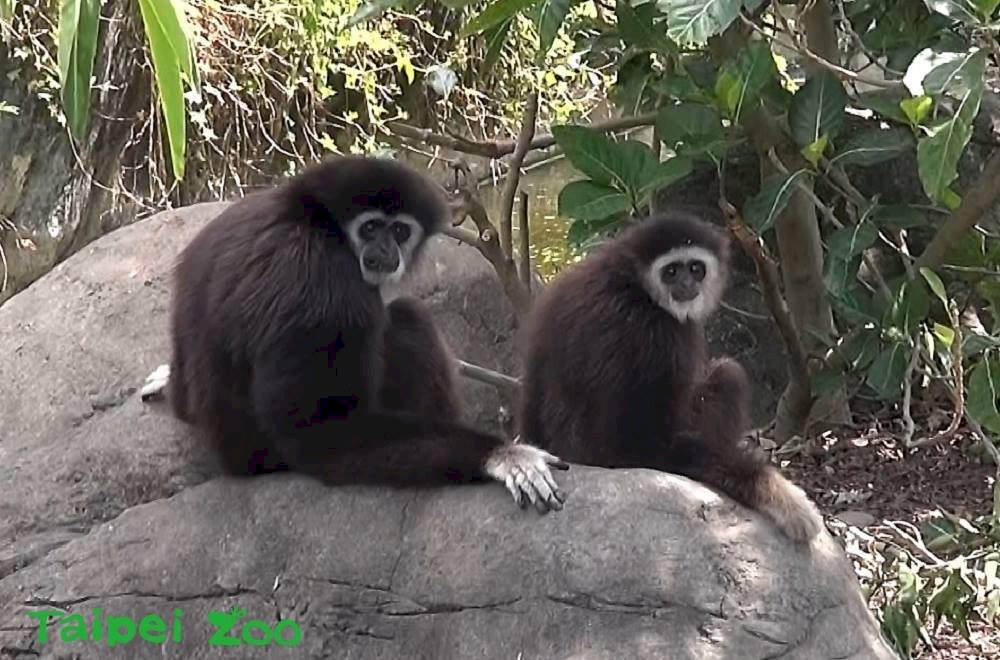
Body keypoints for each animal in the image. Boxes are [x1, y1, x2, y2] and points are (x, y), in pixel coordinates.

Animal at [150, 155, 568, 513]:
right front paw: (501, 455)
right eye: (369, 228)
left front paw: (167, 381)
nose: (385, 249)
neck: (310, 218)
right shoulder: (325, 286)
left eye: (399, 230)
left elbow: (184, 398)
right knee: (408, 317)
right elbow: (323, 436)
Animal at [516, 210, 823, 543]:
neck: (632, 284)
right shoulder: (658, 336)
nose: (687, 283)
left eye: (695, 268)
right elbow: (650, 444)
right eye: (671, 271)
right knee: (728, 374)